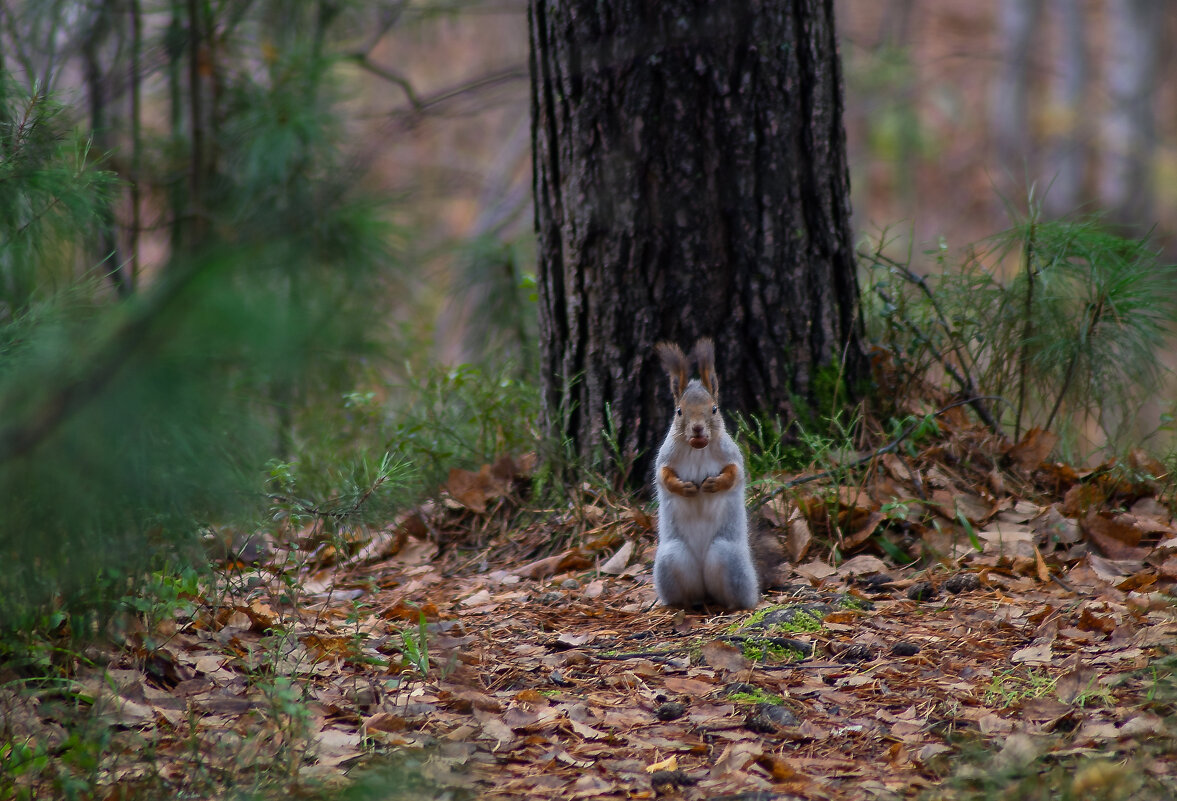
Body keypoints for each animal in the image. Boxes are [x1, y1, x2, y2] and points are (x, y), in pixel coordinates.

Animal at [649, 336, 757, 606]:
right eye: (679, 411)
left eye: (714, 409)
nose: (697, 429)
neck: (697, 449)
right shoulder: (665, 458)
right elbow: (663, 477)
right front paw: (684, 487)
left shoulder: (732, 455)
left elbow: (734, 474)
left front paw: (713, 484)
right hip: (672, 559)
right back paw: (685, 605)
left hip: (727, 556)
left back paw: (735, 605)